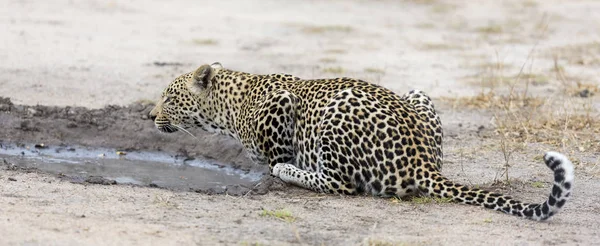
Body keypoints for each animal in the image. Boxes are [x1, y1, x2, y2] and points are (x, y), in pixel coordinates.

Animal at [148, 63, 576, 221]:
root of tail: (421, 162)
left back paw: (290, 170)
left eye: (169, 98)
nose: (150, 116)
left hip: (334, 115)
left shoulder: (281, 105)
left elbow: (273, 154)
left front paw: (274, 167)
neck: (230, 107)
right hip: (418, 94)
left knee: (340, 183)